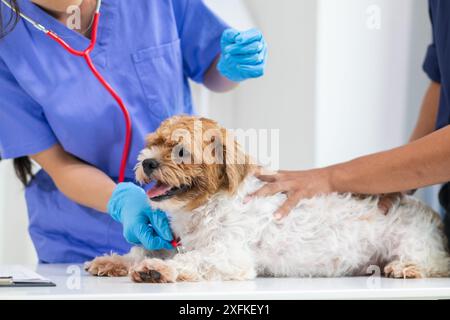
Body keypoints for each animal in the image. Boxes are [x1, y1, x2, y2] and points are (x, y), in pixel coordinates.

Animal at [85, 115, 450, 282]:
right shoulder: (176, 241)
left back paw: (407, 267)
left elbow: (191, 260)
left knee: (437, 263)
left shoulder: (228, 255)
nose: (147, 162)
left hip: (416, 245)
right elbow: (143, 249)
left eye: (181, 151)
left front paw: (157, 270)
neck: (205, 208)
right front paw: (116, 261)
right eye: (153, 144)